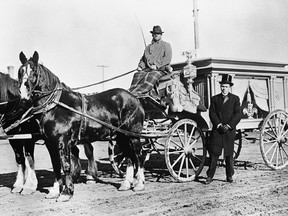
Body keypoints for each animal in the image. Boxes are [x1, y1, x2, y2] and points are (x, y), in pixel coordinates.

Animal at [18, 51, 146, 202]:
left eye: (34, 71)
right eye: (20, 71)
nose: (23, 94)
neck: (56, 106)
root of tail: (135, 98)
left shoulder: (62, 142)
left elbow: (66, 165)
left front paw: (66, 193)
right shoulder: (50, 143)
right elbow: (56, 166)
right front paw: (55, 191)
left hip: (132, 136)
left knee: (138, 155)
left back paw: (140, 184)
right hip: (121, 137)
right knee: (129, 156)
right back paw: (126, 184)